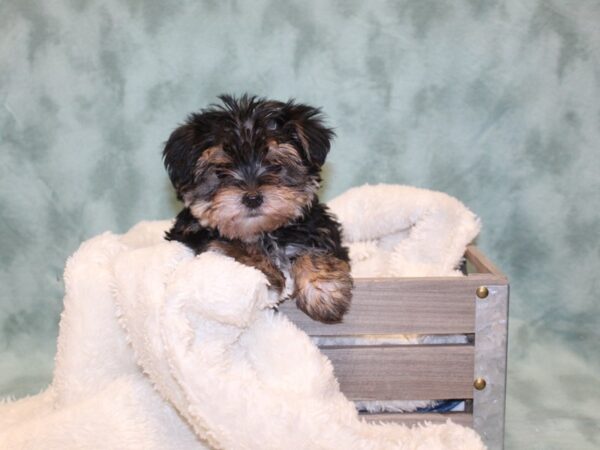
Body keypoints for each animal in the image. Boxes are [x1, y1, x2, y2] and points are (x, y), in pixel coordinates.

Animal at [162, 95, 354, 322]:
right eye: (220, 171)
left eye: (276, 166)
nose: (252, 198)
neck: (263, 232)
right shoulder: (192, 234)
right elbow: (234, 246)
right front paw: (273, 275)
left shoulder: (318, 227)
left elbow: (315, 250)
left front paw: (323, 292)